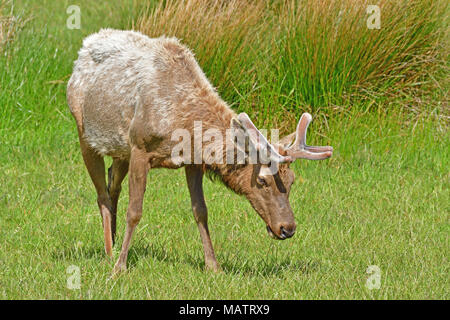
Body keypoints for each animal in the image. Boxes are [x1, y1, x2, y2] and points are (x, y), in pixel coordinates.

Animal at [67, 29, 334, 272]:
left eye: (292, 181)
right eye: (261, 180)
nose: (287, 228)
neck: (181, 125)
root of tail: (83, 48)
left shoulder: (193, 160)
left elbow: (200, 211)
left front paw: (213, 265)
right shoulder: (140, 147)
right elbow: (135, 211)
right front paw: (120, 267)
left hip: (121, 149)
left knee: (113, 183)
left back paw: (112, 239)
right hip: (85, 133)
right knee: (101, 194)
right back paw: (109, 252)